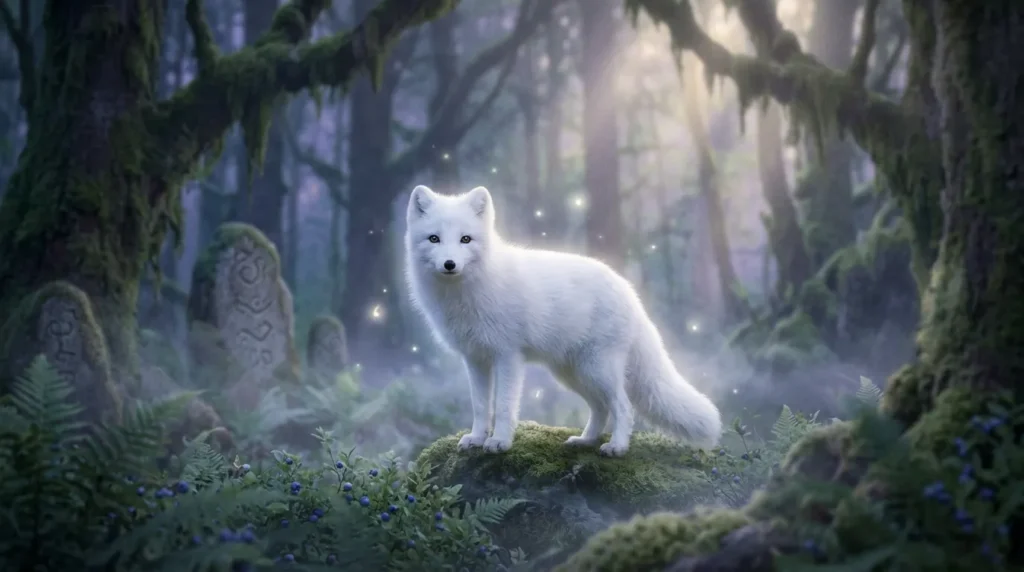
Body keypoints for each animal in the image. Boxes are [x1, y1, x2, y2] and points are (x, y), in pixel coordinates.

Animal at [403, 185, 722, 457]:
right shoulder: (475, 359)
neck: (465, 294)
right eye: (434, 238)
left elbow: (504, 406)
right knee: (601, 408)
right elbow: (481, 406)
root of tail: (630, 292)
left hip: (598, 368)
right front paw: (477, 439)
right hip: (573, 372)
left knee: (623, 407)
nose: (449, 264)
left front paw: (500, 442)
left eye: (465, 239)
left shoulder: (507, 356)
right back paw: (586, 440)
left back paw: (617, 447)